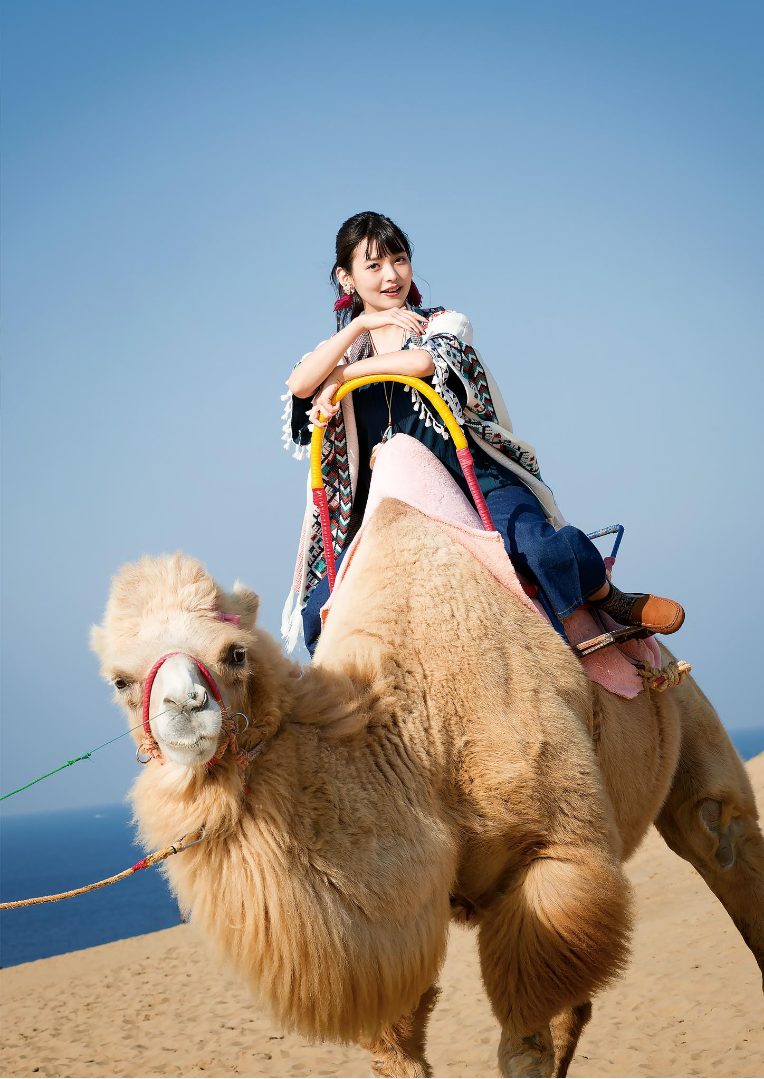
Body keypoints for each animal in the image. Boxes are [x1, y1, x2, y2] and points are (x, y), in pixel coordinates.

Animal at [91, 500, 764, 1074]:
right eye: (121, 681)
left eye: (234, 654)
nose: (184, 708)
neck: (417, 739)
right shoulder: (394, 928)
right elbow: (399, 1047)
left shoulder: (558, 856)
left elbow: (523, 1046)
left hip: (688, 718)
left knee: (721, 842)